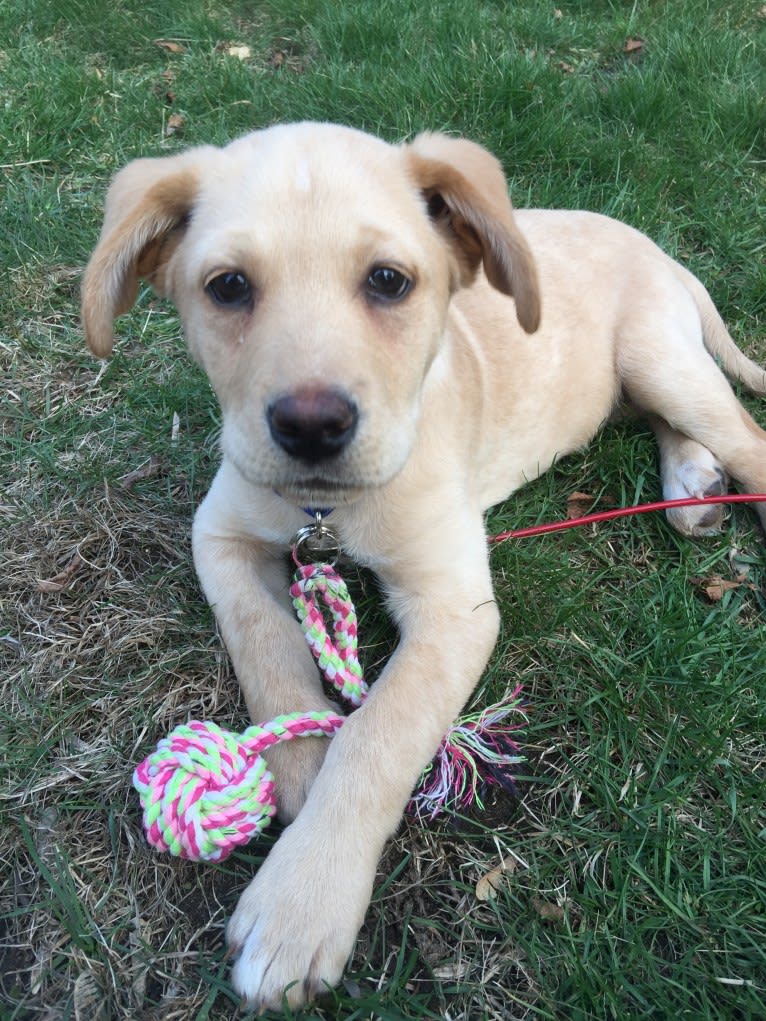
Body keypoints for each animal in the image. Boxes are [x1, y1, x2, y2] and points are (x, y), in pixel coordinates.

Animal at [82, 123, 766, 1008]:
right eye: (228, 286)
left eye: (388, 280)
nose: (311, 427)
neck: (327, 513)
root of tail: (651, 245)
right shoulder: (220, 534)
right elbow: (266, 643)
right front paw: (301, 763)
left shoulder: (455, 607)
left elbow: (380, 734)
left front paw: (303, 899)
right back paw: (691, 485)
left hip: (660, 356)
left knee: (743, 435)